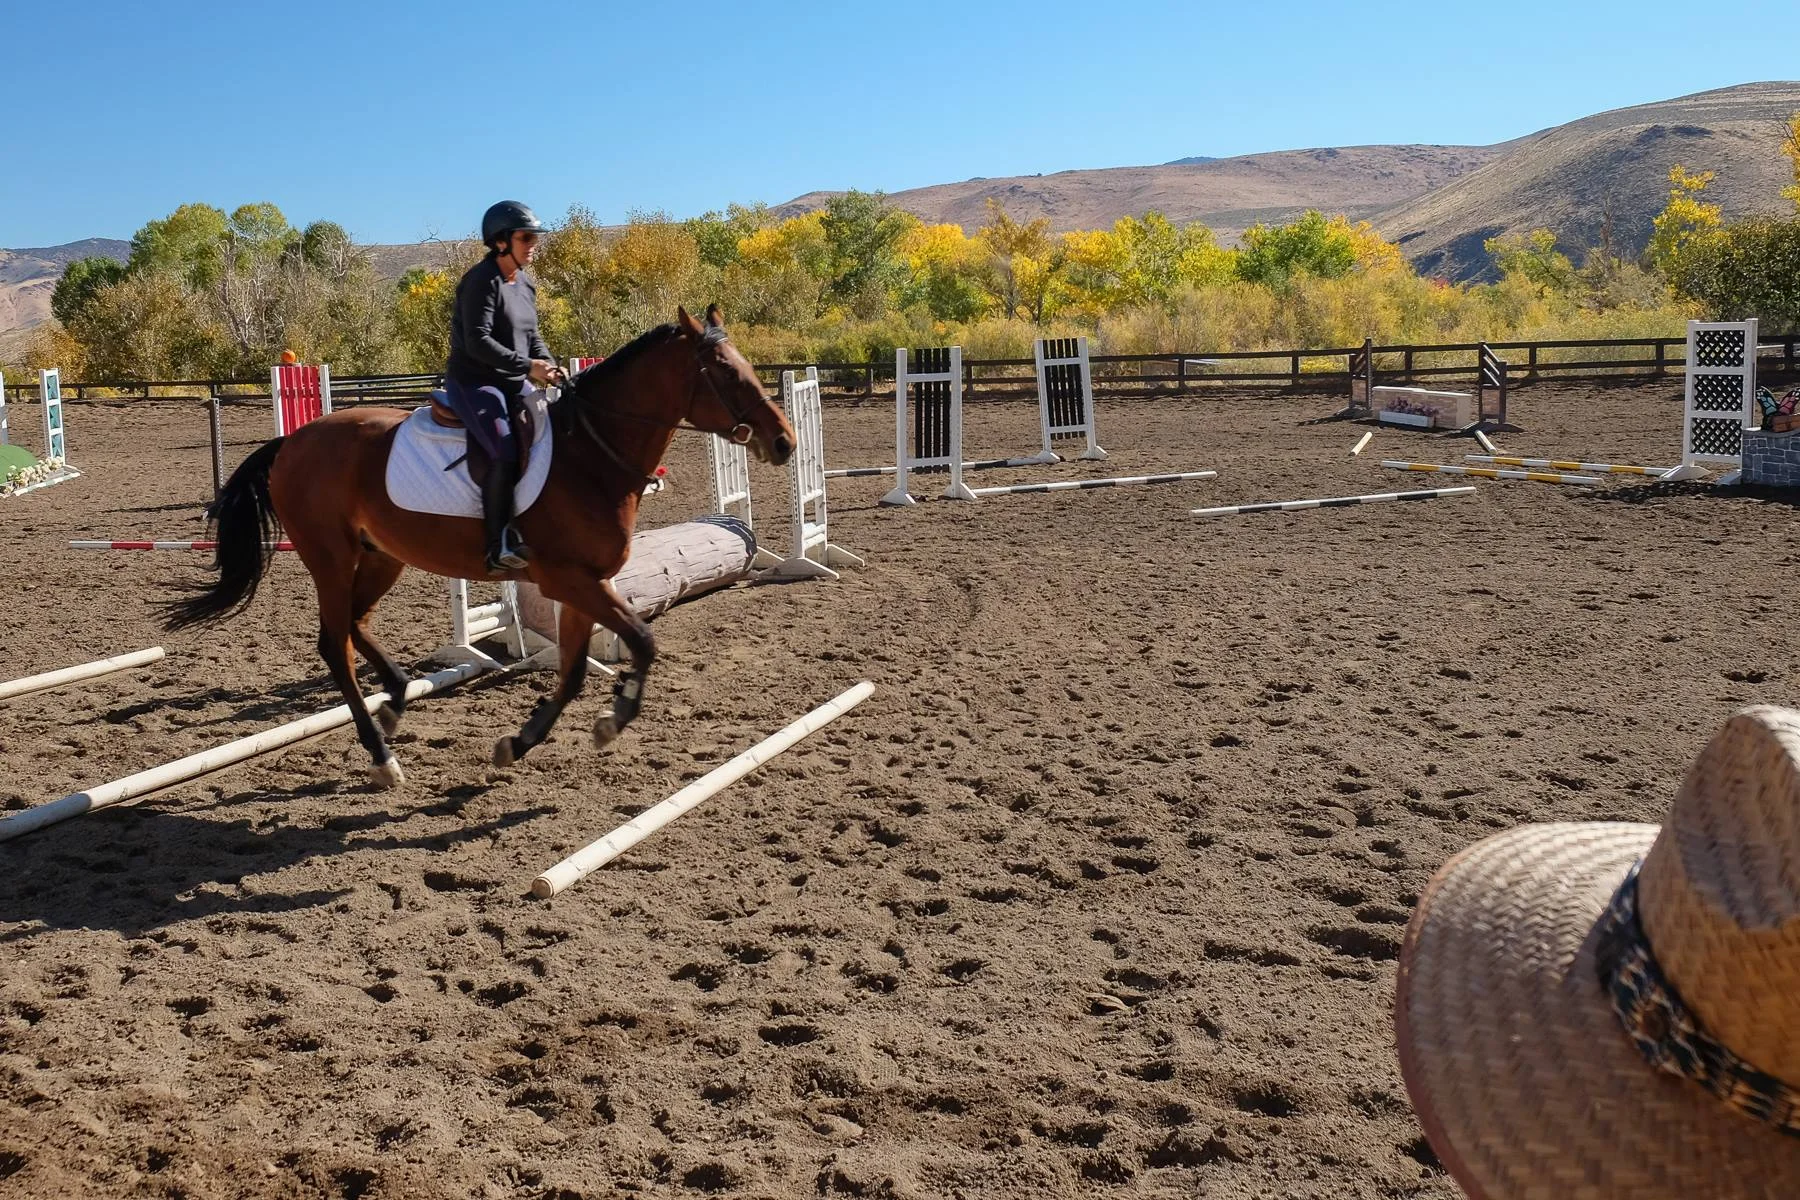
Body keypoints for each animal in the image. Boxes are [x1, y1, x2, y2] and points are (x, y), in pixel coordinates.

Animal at [165, 305, 796, 787]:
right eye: (724, 372)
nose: (785, 442)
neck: (589, 457)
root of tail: (293, 441)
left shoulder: (586, 586)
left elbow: (574, 672)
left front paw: (520, 742)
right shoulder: (570, 579)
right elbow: (641, 641)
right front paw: (613, 720)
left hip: (381, 557)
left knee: (355, 626)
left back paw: (397, 698)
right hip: (331, 557)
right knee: (333, 643)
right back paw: (382, 755)